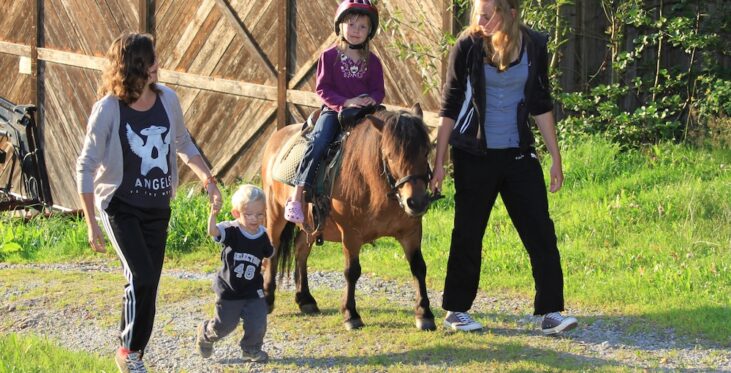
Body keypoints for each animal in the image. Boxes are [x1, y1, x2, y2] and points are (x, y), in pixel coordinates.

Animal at [262, 104, 434, 328]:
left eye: (426, 151)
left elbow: (418, 267)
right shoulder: (351, 233)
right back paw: (267, 297)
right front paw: (351, 314)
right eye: (389, 155)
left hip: (310, 224)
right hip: (274, 213)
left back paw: (305, 298)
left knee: (301, 251)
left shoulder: (411, 231)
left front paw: (424, 313)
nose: (416, 201)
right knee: (272, 250)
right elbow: (352, 271)